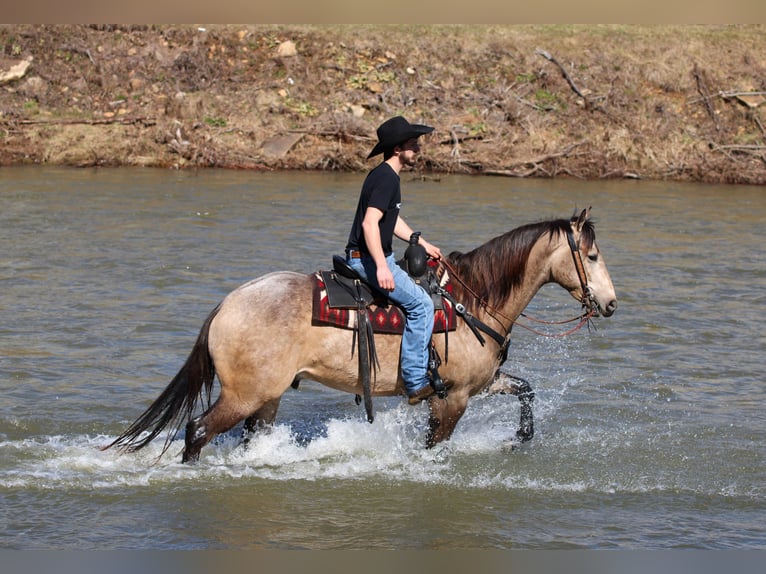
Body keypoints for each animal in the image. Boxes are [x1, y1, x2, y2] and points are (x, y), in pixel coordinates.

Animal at [104, 208, 617, 463]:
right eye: (591, 256)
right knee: (196, 430)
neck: (474, 302)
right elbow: (434, 446)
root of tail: (226, 305)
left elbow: (526, 391)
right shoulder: (452, 398)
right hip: (244, 395)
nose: (611, 303)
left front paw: (518, 438)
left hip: (265, 398)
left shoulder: (478, 385)